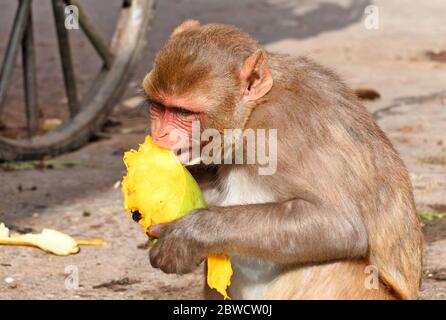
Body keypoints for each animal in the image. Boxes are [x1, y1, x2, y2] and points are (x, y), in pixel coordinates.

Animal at [141, 20, 424, 300]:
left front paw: (187, 237)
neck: (252, 113)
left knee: (332, 265)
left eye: (183, 112)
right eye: (159, 106)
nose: (159, 133)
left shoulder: (281, 135)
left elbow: (340, 225)